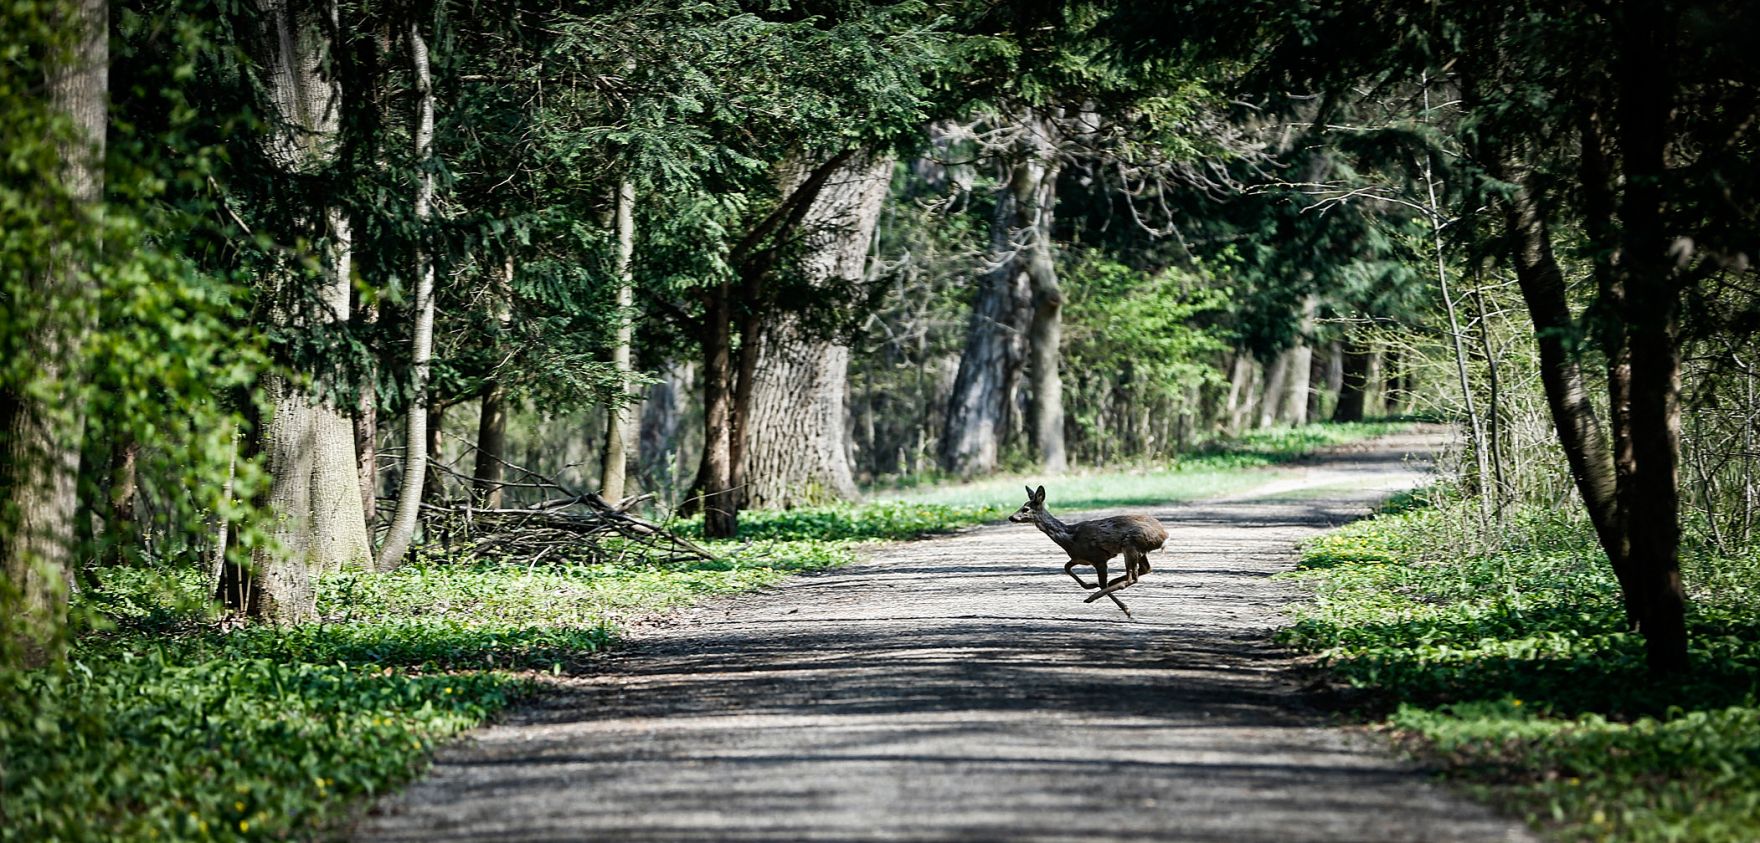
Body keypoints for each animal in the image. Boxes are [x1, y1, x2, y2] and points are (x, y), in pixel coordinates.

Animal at [1009, 485, 1167, 618]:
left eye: (1025, 509)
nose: (1011, 517)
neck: (1069, 537)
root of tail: (1164, 535)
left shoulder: (1099, 558)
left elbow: (1101, 583)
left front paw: (1121, 605)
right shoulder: (1079, 558)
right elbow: (1066, 567)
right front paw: (1090, 585)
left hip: (1130, 546)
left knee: (1131, 578)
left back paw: (1096, 598)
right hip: (1139, 550)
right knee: (1145, 569)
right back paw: (1114, 581)